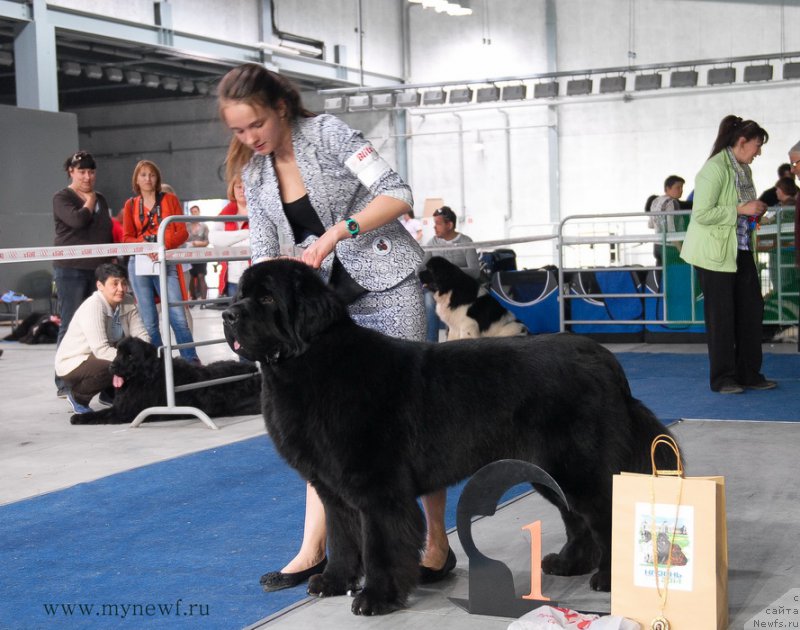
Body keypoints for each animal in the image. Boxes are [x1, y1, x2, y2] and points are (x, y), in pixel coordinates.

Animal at [69, 338, 260, 428]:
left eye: (130, 356)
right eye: (118, 352)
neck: (146, 375)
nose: (112, 366)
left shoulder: (124, 411)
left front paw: (78, 418)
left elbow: (100, 414)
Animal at [222, 260, 672, 620]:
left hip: (577, 467)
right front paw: (333, 582)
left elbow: (379, 545)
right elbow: (341, 538)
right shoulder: (332, 487)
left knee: (605, 513)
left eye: (266, 298)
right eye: (241, 294)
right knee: (576, 518)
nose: (227, 314)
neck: (310, 363)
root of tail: (602, 358)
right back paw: (567, 563)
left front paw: (376, 597)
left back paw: (608, 578)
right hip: (548, 469)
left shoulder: (377, 489)